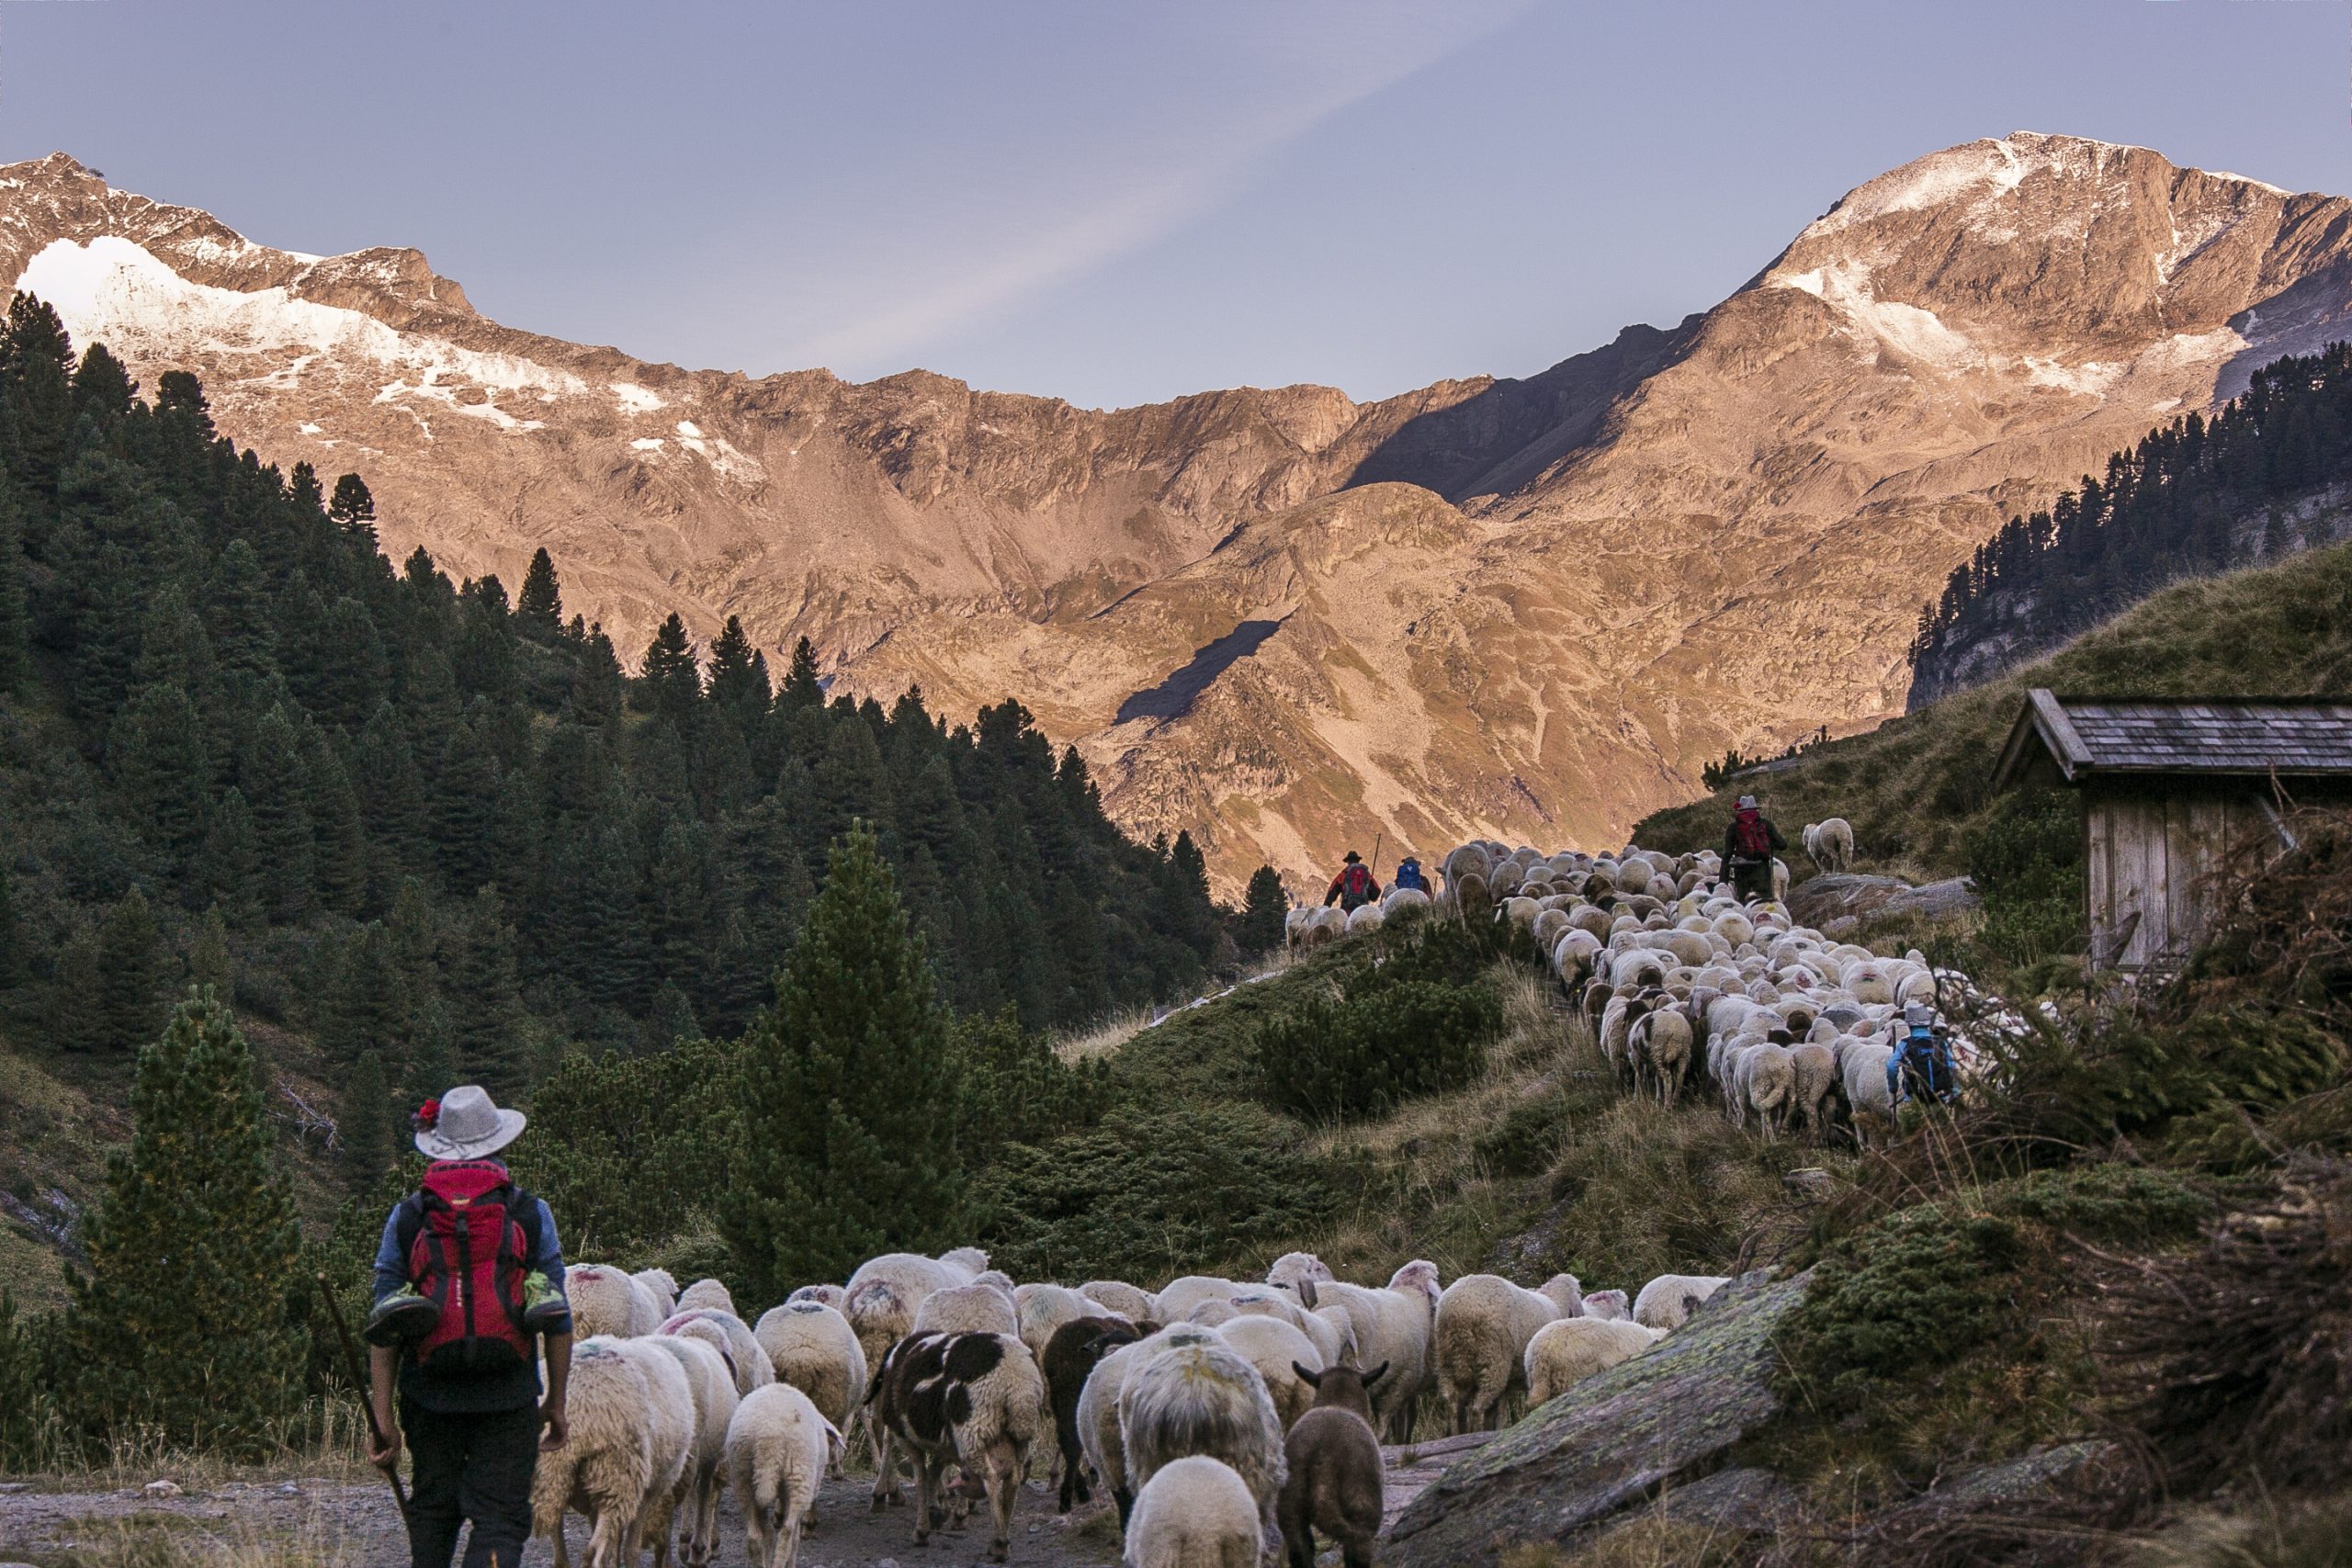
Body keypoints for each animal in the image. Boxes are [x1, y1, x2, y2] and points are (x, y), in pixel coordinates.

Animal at [733, 1382, 855, 1568]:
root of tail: (769, 1439)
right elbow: (794, 1536)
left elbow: (768, 1532)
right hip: (799, 1475)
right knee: (787, 1533)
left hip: (743, 1476)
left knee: (753, 1536)